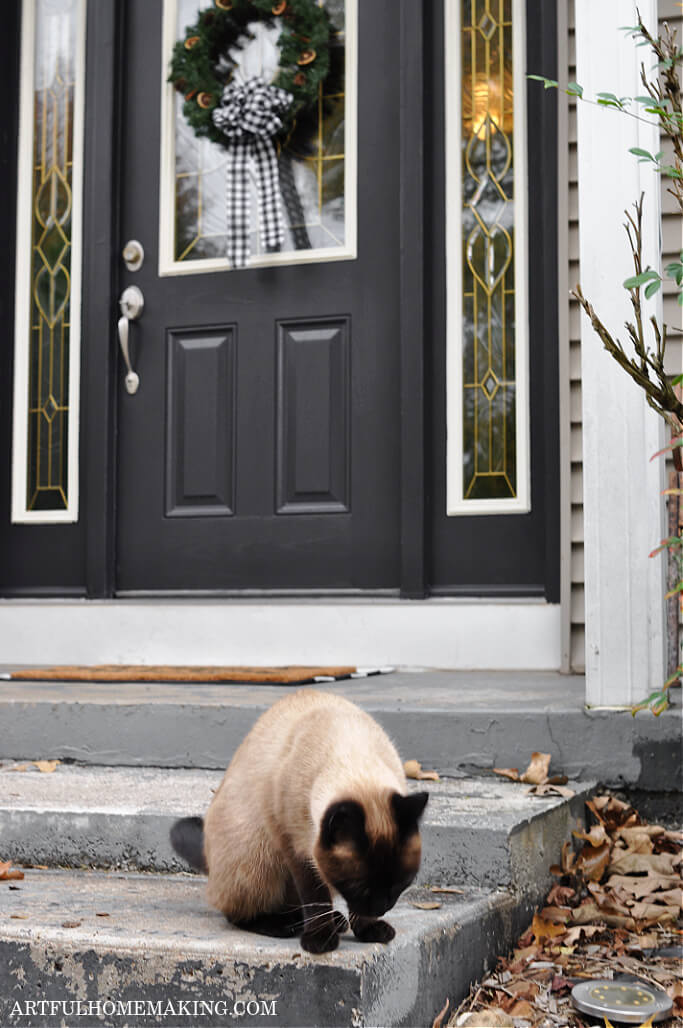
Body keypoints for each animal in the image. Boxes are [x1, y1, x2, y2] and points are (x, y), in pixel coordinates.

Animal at [170, 690, 427, 953]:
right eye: (359, 886)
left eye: (400, 884)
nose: (381, 908)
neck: (354, 763)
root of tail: (209, 861)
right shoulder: (296, 848)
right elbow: (314, 898)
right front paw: (320, 941)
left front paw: (368, 929)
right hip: (258, 859)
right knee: (237, 914)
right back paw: (283, 926)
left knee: (292, 906)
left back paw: (331, 921)